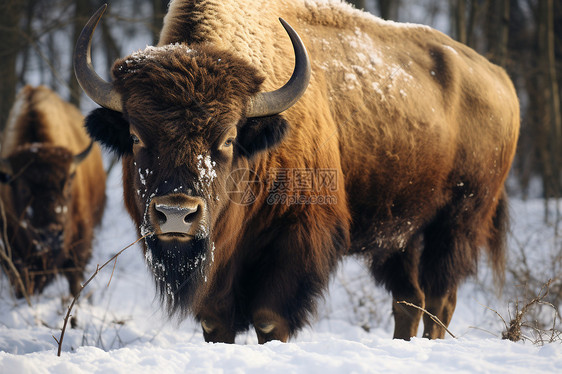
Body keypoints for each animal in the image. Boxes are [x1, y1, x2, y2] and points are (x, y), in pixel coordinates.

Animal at [74, 0, 516, 344]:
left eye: (228, 139)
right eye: (135, 135)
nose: (177, 214)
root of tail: (500, 80)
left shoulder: (297, 238)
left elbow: (269, 318)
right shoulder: (222, 265)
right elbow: (218, 322)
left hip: (457, 223)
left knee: (441, 298)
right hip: (400, 235)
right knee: (409, 300)